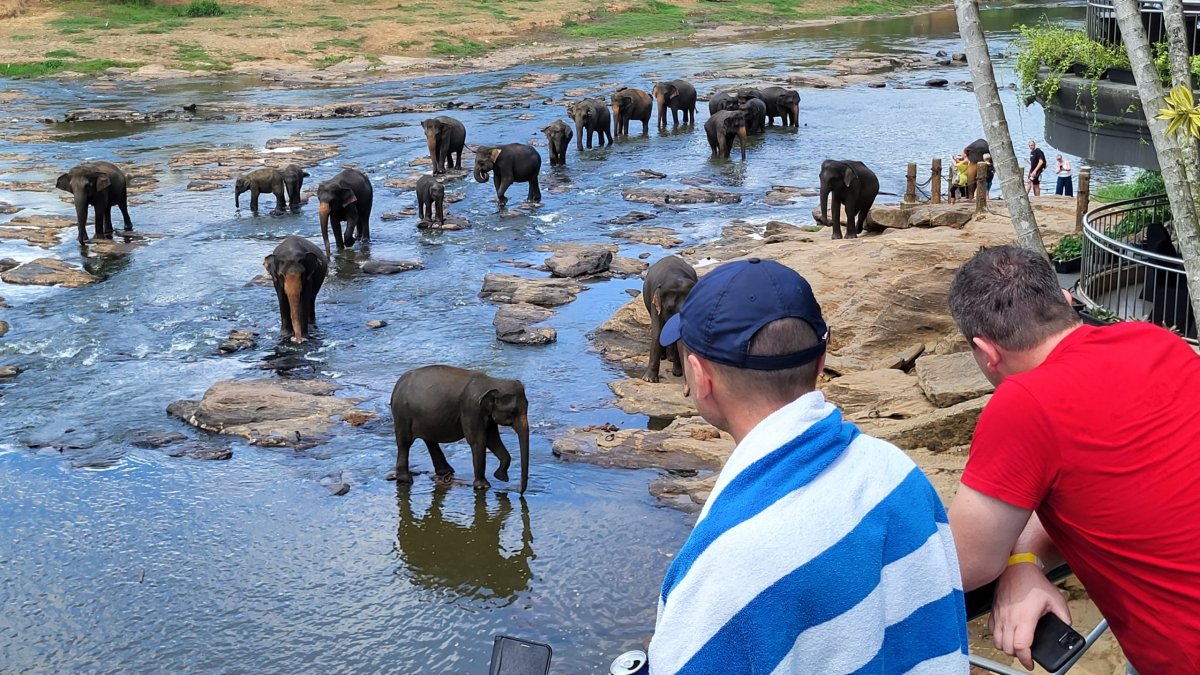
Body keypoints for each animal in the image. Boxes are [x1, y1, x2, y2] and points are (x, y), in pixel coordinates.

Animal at [388, 365, 530, 492]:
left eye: (527, 406)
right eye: (512, 412)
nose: (519, 491)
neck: (492, 382)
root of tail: (397, 385)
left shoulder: (487, 415)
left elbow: (493, 440)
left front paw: (501, 477)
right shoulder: (471, 409)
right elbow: (478, 440)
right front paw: (483, 487)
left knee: (429, 440)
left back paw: (446, 471)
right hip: (402, 414)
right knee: (404, 443)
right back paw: (405, 480)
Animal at [643, 252, 700, 381]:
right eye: (669, 308)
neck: (676, 277)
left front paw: (677, 373)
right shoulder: (655, 301)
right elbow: (657, 331)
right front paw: (649, 380)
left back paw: (671, 359)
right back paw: (664, 357)